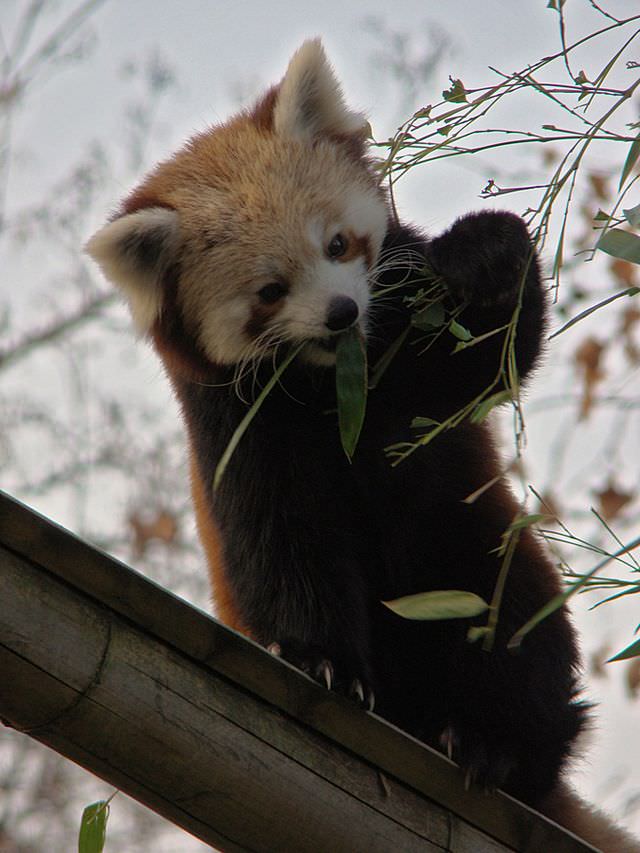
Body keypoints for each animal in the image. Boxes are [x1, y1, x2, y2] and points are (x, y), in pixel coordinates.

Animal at [89, 40, 640, 852]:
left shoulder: (404, 349)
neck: (333, 385)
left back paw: (496, 744)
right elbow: (285, 541)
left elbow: (487, 361)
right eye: (270, 292)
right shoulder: (239, 428)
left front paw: (487, 252)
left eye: (339, 244)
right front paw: (326, 664)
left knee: (515, 626)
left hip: (469, 542)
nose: (343, 313)